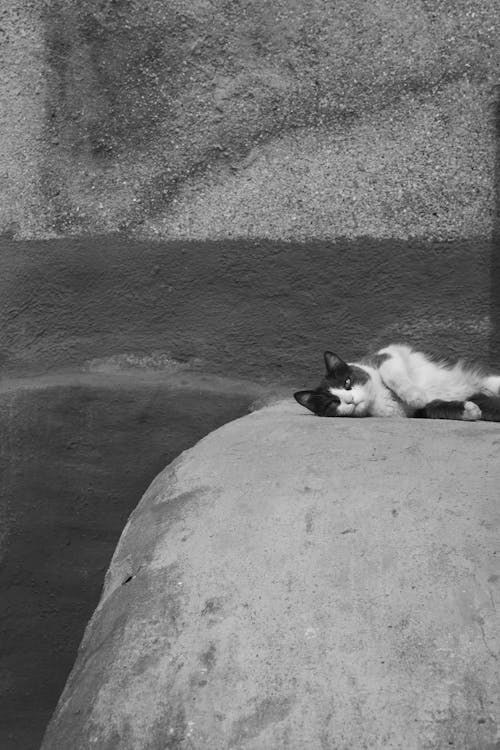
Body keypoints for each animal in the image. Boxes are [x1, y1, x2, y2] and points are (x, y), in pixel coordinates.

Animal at [292, 346, 500, 424]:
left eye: (347, 382)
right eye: (333, 403)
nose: (350, 399)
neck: (379, 397)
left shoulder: (387, 354)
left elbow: (390, 372)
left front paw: (416, 396)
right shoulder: (418, 413)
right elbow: (436, 408)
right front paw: (469, 410)